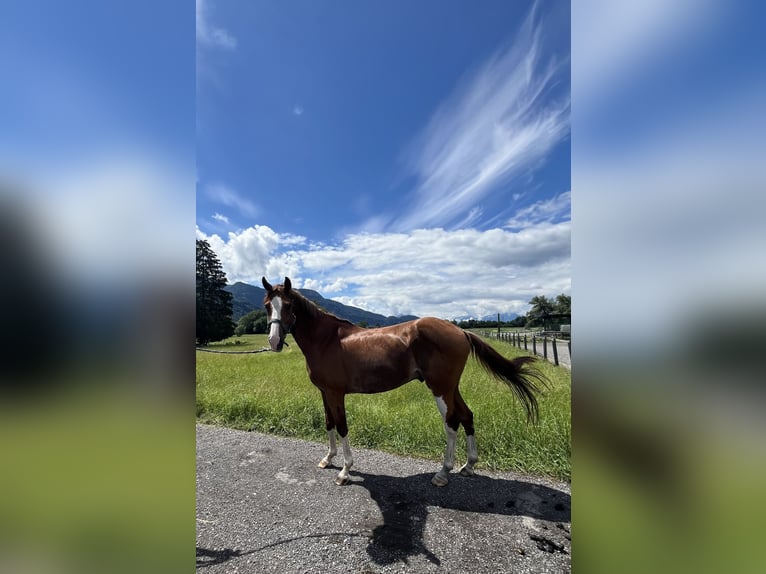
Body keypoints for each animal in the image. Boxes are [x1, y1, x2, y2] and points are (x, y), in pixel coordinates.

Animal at [260, 276, 548, 488]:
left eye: (289, 305)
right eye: (267, 305)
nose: (274, 342)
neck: (327, 339)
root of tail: (460, 330)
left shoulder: (336, 393)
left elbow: (342, 427)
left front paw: (344, 470)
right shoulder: (324, 392)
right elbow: (329, 423)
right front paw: (328, 459)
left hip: (440, 388)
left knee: (452, 422)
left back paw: (443, 473)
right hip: (451, 388)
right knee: (467, 416)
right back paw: (468, 466)